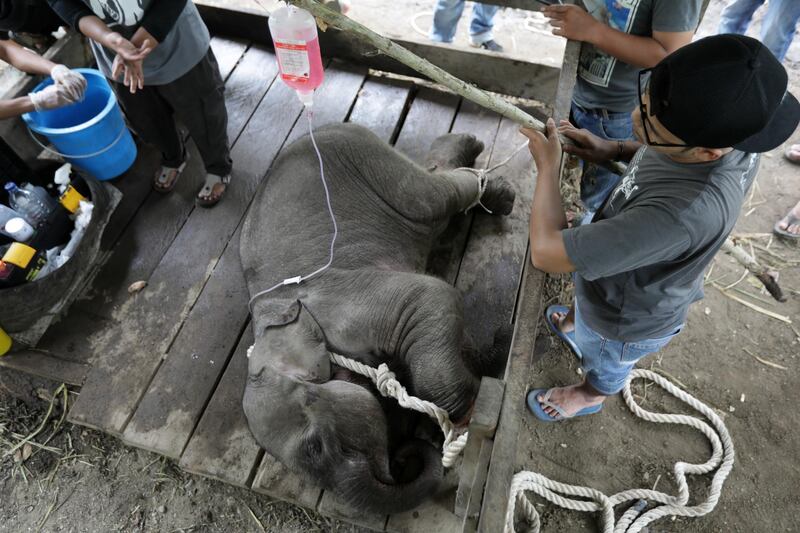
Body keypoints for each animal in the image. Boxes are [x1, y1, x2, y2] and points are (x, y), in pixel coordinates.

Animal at [241, 122, 516, 512]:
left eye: (317, 447)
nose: (403, 458)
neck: (267, 328)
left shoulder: (346, 303)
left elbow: (431, 297)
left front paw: (465, 418)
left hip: (369, 160)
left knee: (433, 196)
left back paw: (488, 177)